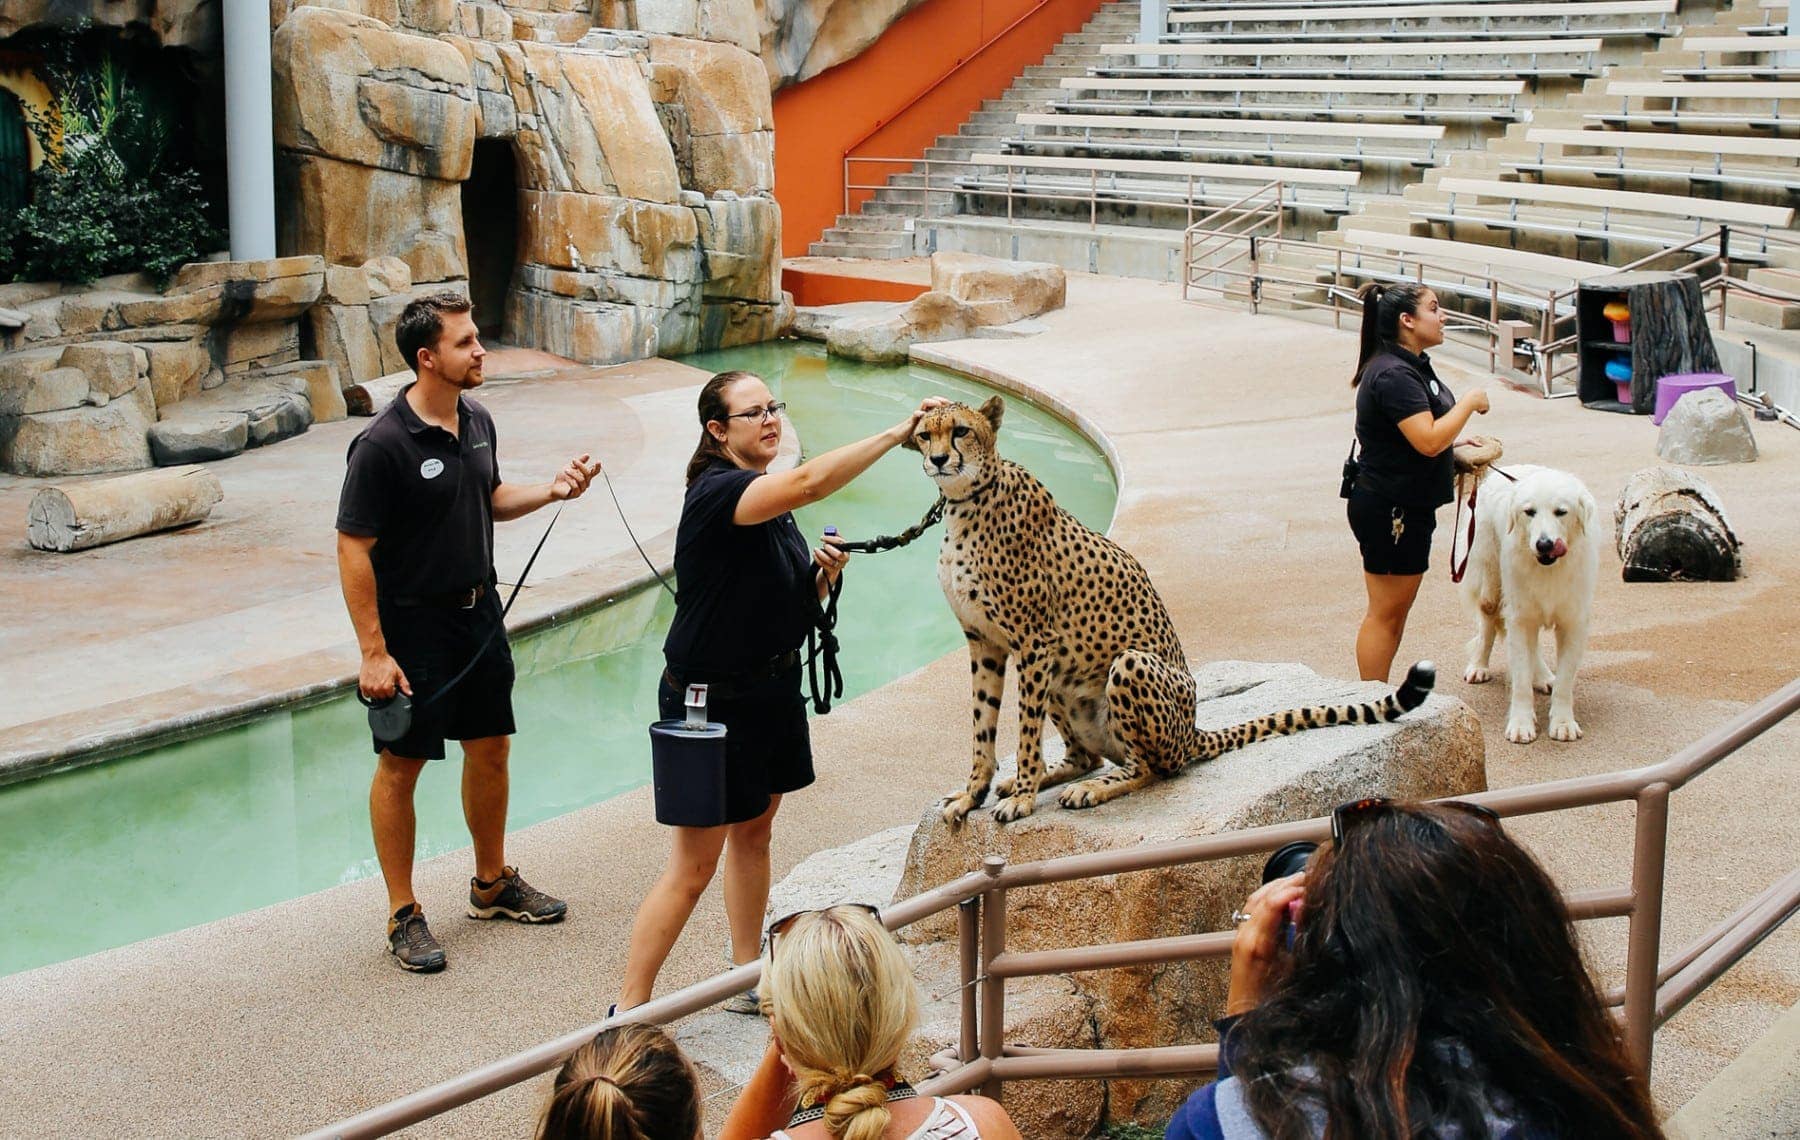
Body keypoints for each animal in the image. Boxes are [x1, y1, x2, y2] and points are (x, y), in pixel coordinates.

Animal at [907, 396, 1440, 821]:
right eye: (925, 434)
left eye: (961, 431)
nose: (938, 459)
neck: (968, 498)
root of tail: (1194, 732)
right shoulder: (987, 643)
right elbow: (982, 727)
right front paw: (975, 794)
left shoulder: (1034, 642)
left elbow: (1024, 731)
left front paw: (1022, 798)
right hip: (1064, 676)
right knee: (1092, 756)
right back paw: (1054, 778)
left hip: (1128, 664)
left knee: (1152, 768)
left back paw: (1087, 789)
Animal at [1461, 464, 1605, 745]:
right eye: (1529, 512)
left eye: (1561, 512)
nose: (1544, 544)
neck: (1548, 568)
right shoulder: (1519, 618)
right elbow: (1520, 680)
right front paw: (1521, 724)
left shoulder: (1573, 623)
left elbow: (1564, 681)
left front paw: (1563, 723)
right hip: (1491, 582)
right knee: (1487, 623)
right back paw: (1478, 666)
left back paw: (1544, 677)